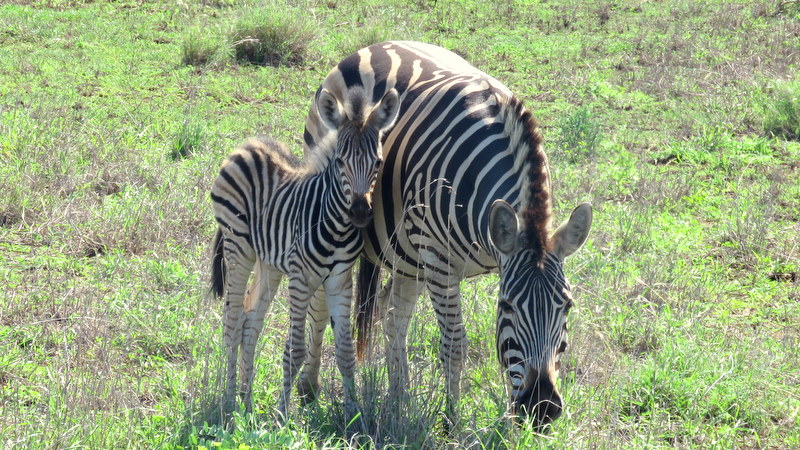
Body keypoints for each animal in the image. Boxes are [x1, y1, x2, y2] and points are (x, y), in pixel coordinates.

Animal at [209, 87, 400, 423]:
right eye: (340, 162)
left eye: (378, 163)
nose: (360, 212)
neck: (335, 226)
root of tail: (247, 145)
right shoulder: (301, 278)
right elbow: (295, 349)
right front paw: (283, 416)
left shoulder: (339, 280)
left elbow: (346, 353)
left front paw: (353, 414)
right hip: (238, 247)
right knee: (232, 324)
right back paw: (230, 403)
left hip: (269, 262)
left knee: (249, 324)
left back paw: (247, 402)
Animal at [300, 41, 592, 427]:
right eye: (507, 306)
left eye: (567, 305)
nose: (542, 406)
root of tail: (376, 46)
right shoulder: (439, 262)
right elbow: (455, 346)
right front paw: (451, 420)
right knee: (321, 303)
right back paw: (309, 388)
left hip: (408, 255)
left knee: (393, 318)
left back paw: (399, 401)